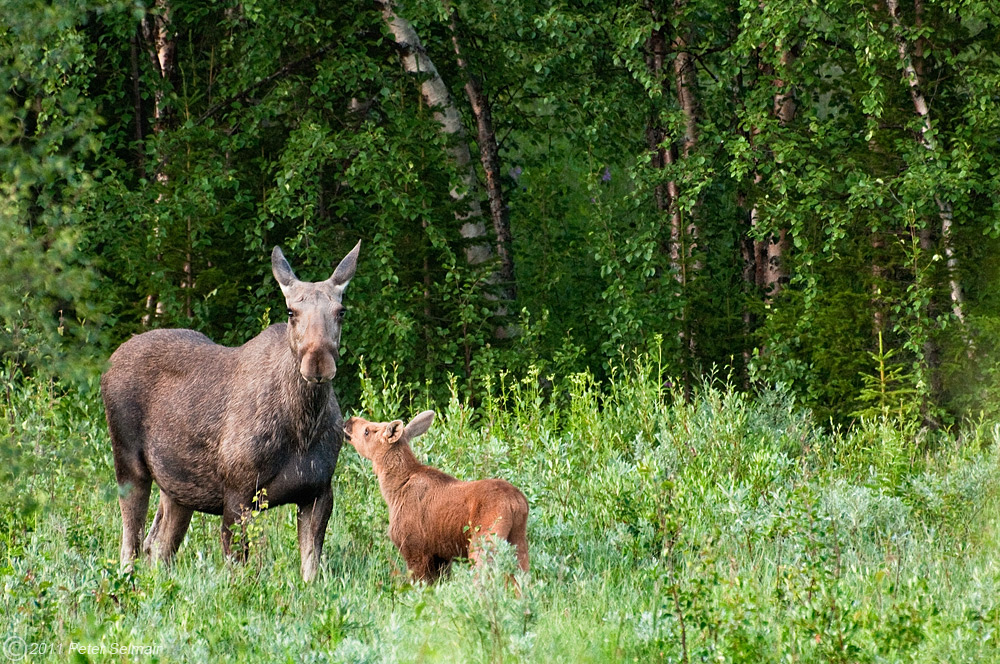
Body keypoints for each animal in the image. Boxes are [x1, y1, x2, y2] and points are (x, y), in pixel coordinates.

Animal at [100, 241, 360, 580]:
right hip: (129, 462)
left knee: (158, 545)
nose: (318, 363)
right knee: (129, 545)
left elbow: (310, 571)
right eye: (291, 312)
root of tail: (109, 362)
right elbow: (239, 571)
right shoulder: (238, 492)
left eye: (340, 312)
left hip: (178, 487)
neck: (303, 427)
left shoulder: (318, 492)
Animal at [346, 410, 532, 580]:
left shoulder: (414, 547)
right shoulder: (442, 556)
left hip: (485, 540)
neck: (393, 493)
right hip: (518, 541)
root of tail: (516, 503)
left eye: (367, 431)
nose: (349, 421)